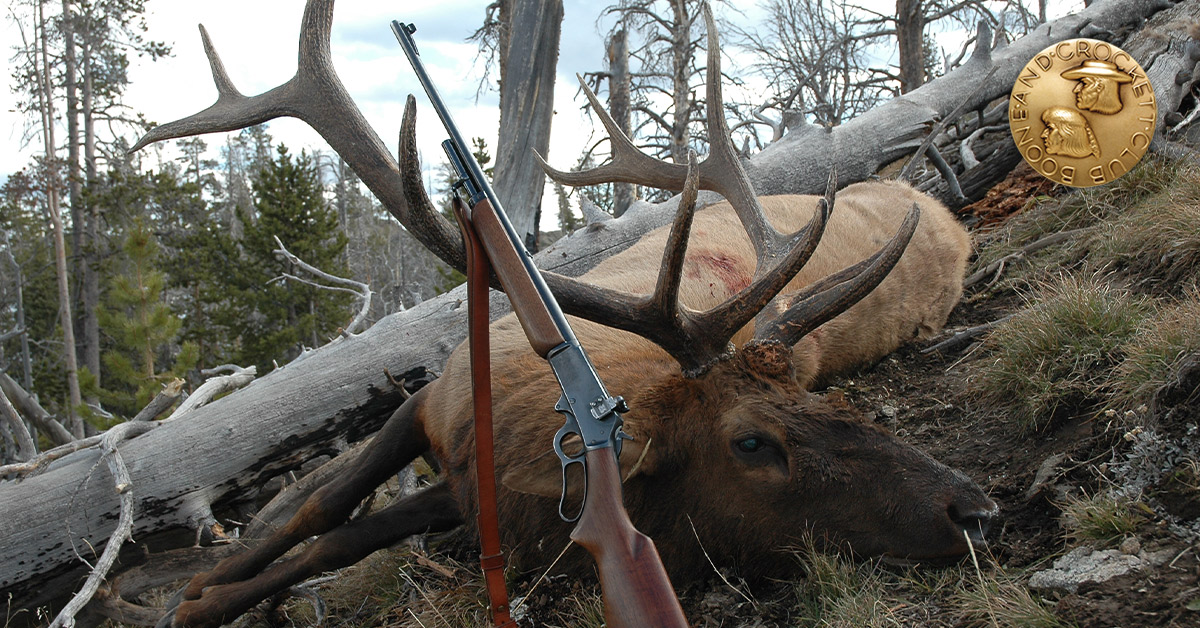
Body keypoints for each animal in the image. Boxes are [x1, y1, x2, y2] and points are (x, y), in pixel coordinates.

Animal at [132, 2, 998, 626]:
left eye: (825, 400)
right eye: (754, 441)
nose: (973, 506)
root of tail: (938, 207)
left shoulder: (471, 492)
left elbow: (341, 536)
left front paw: (206, 599)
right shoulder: (426, 400)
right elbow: (322, 506)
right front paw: (209, 587)